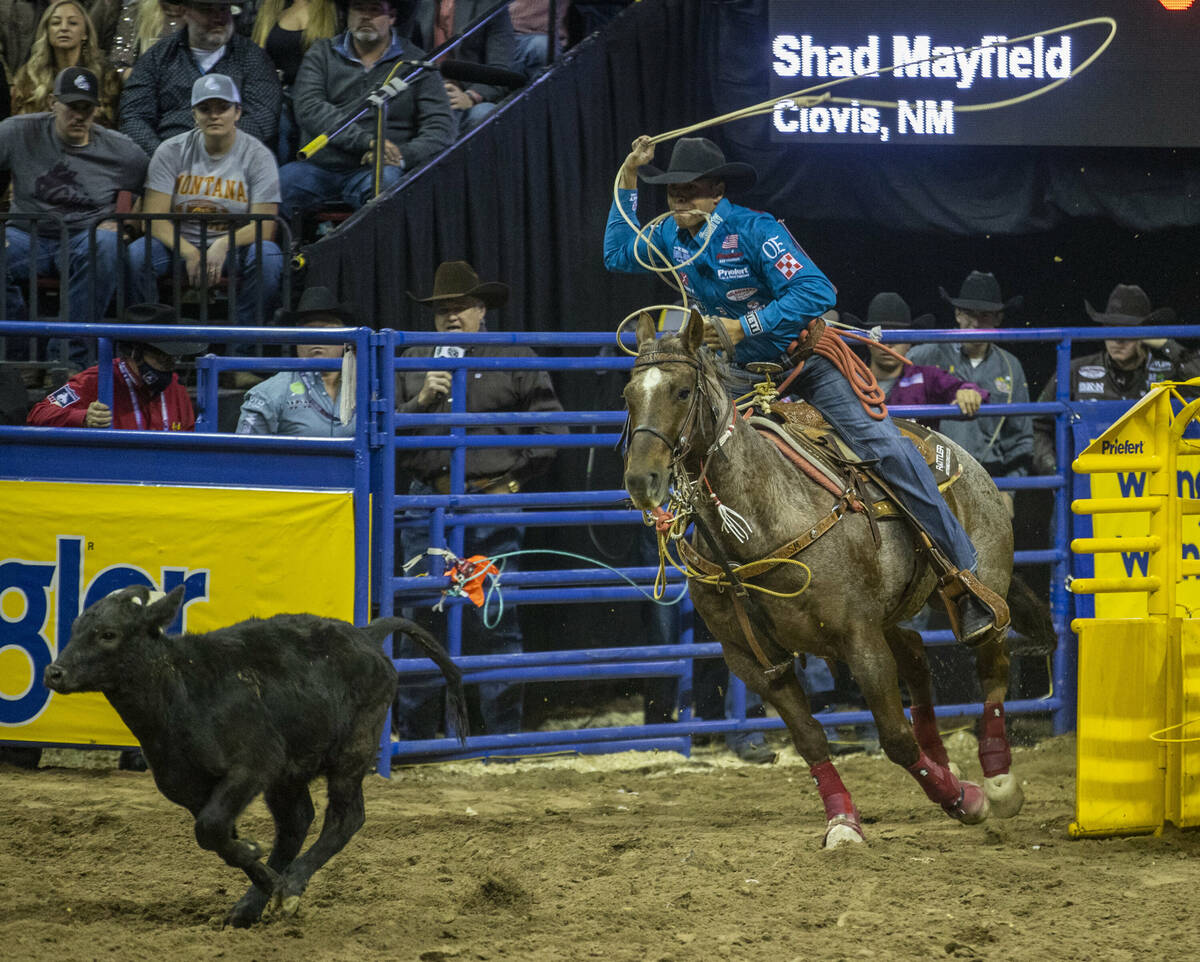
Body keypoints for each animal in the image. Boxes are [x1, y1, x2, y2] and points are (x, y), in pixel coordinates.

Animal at [624, 311, 1046, 844]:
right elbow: (810, 741)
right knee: (915, 656)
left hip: (982, 582)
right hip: (888, 617)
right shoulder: (754, 661)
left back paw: (997, 780)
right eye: (628, 394)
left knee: (992, 663)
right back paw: (946, 761)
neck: (762, 520)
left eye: (681, 391)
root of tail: (961, 456)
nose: (641, 480)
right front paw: (843, 820)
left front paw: (963, 800)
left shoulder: (859, 641)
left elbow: (895, 739)